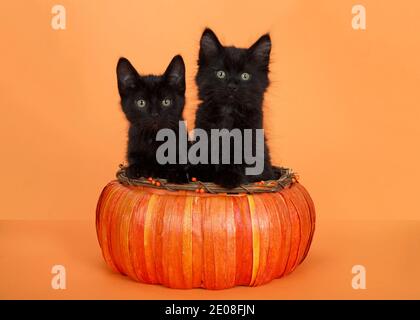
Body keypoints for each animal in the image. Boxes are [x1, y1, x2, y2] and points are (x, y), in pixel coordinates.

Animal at [115, 53, 187, 181]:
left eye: (166, 102)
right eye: (141, 103)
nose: (154, 114)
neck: (154, 137)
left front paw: (176, 173)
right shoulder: (132, 149)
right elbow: (136, 161)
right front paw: (135, 169)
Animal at [194, 28, 276, 189]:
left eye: (245, 76)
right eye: (221, 73)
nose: (232, 86)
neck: (228, 112)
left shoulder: (250, 136)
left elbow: (238, 159)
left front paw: (229, 177)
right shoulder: (204, 131)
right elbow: (206, 153)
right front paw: (202, 173)